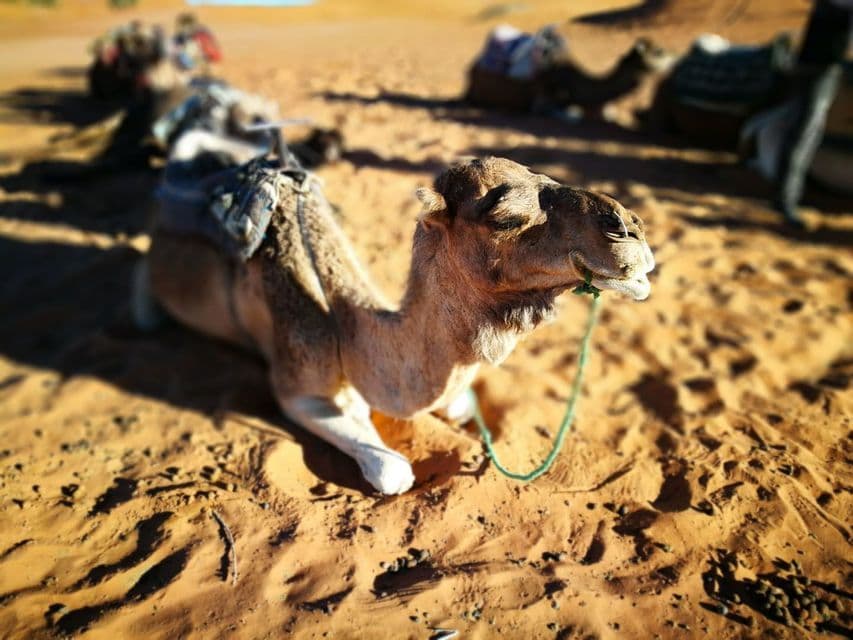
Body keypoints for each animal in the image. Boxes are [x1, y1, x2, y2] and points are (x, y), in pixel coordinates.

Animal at [135, 154, 655, 494]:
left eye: (547, 175)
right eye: (506, 218)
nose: (629, 231)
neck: (348, 328)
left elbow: (459, 407)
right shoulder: (297, 384)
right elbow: (393, 471)